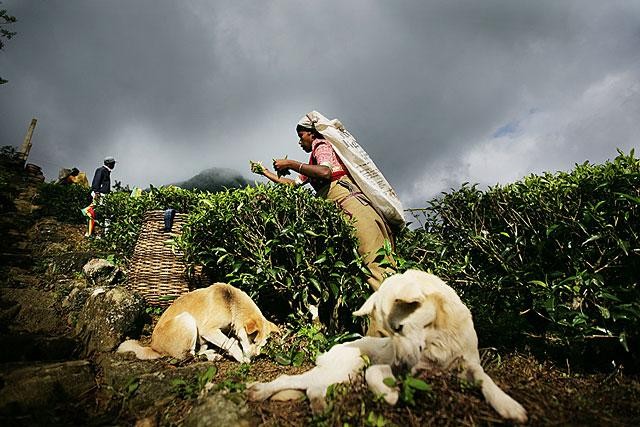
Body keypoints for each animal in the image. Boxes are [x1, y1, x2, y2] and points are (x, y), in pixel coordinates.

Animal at [119, 282, 278, 362]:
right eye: (253, 341)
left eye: (262, 344)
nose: (254, 358)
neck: (231, 303)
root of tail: (153, 347)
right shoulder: (209, 330)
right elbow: (230, 343)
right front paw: (241, 357)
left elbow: (230, 341)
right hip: (187, 320)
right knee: (190, 355)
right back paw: (213, 356)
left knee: (198, 351)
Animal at [248, 270, 528, 422]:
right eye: (388, 333)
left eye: (400, 328)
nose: (401, 366)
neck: (437, 337)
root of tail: (336, 347)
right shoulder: (392, 366)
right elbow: (377, 374)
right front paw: (388, 394)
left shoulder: (468, 363)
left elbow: (485, 381)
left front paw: (508, 405)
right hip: (347, 366)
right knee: (291, 380)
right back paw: (261, 391)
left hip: (343, 376)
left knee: (314, 389)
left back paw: (321, 409)